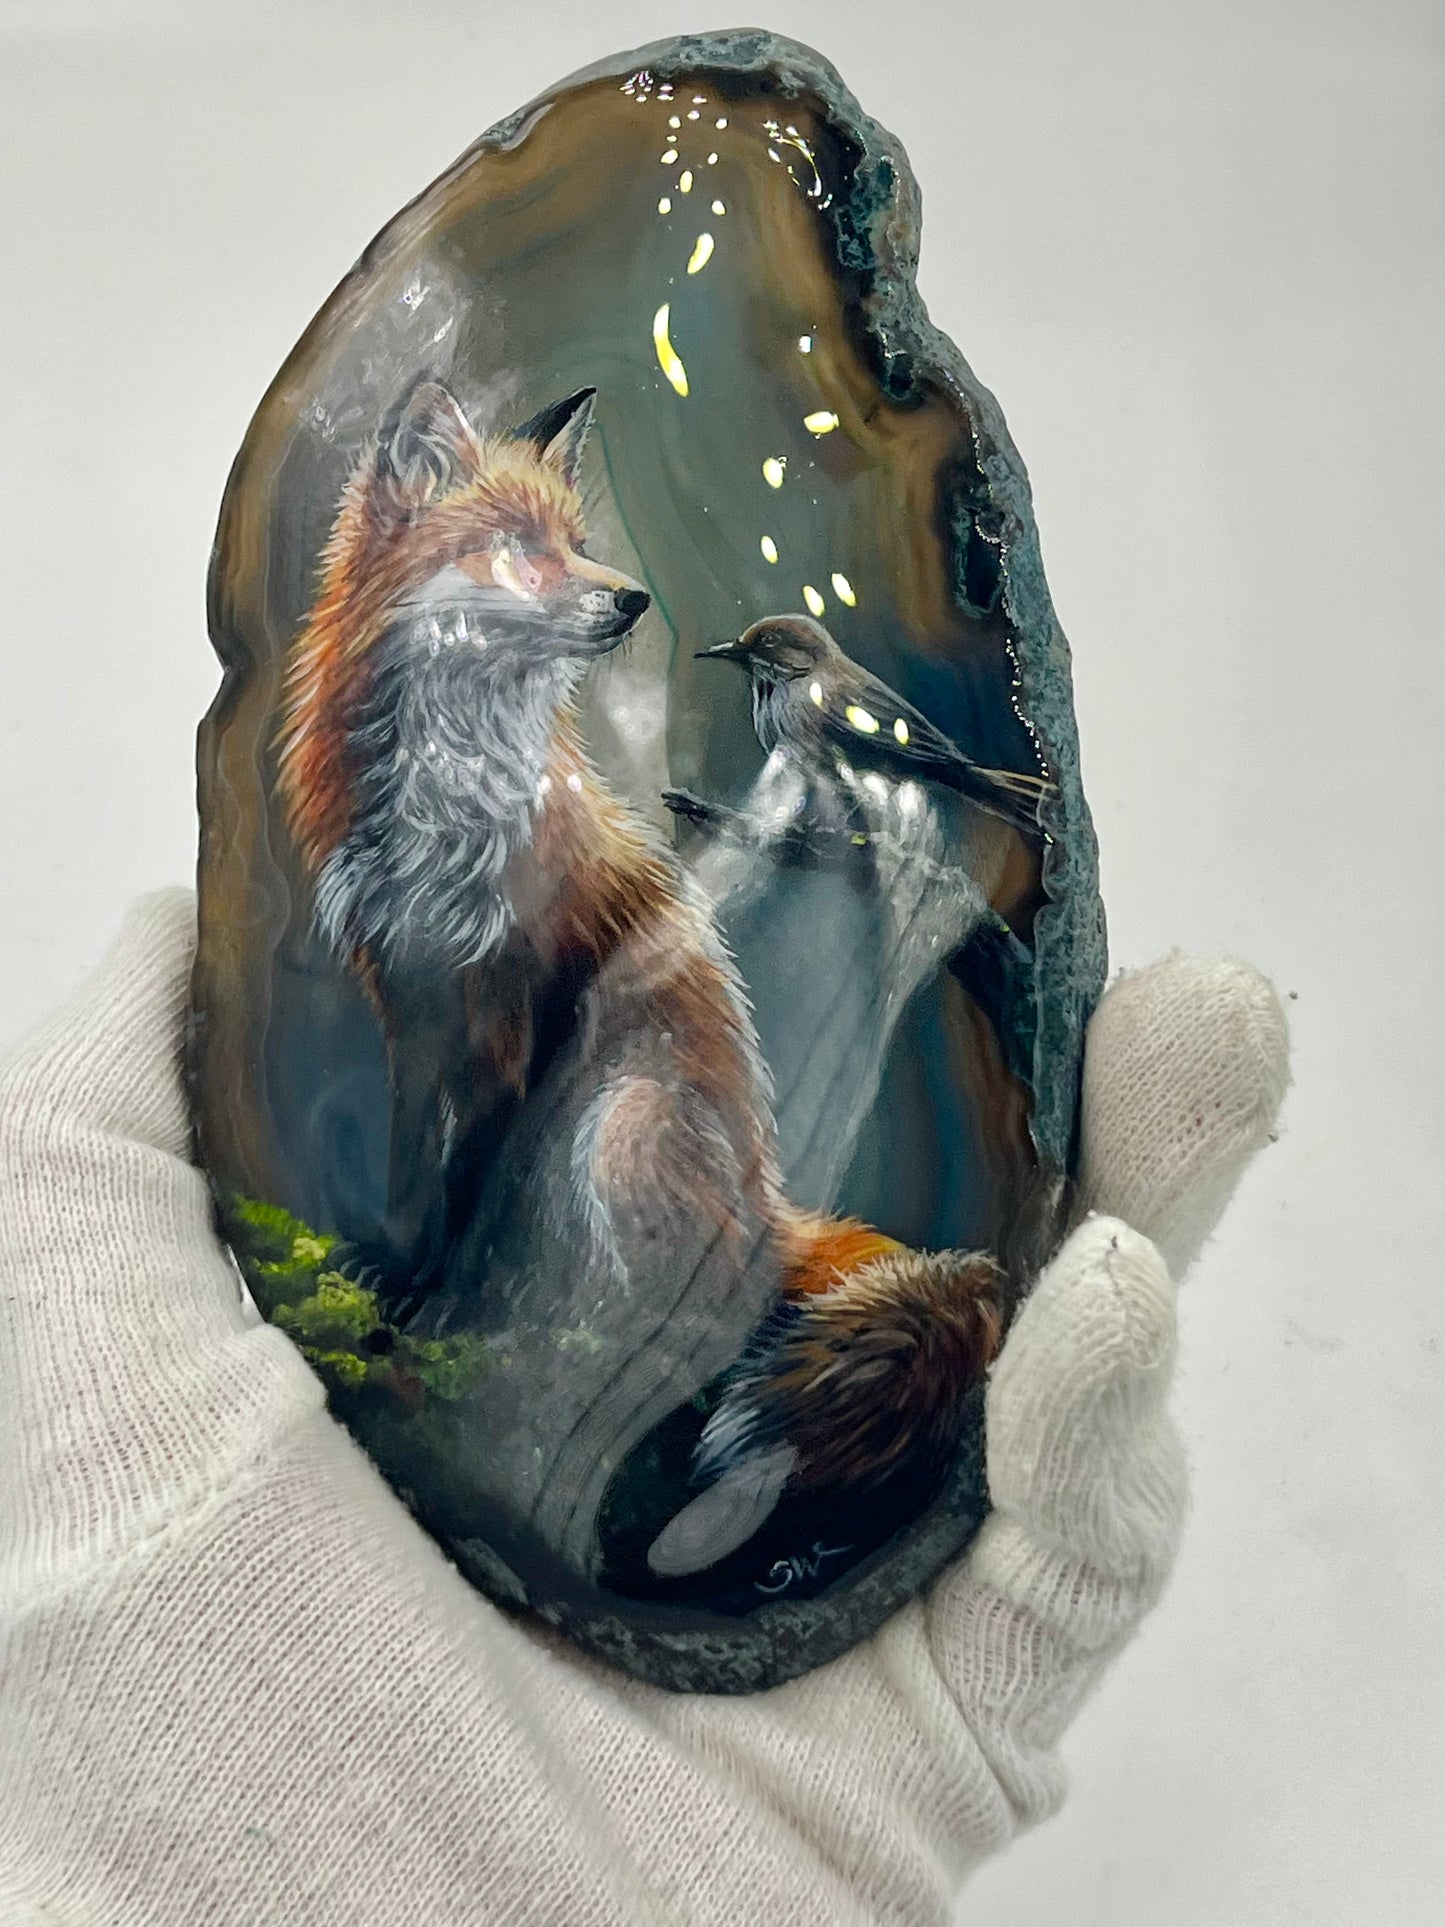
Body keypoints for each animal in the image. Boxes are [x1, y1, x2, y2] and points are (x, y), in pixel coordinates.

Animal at [274, 372, 1006, 1581]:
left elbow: (474, 1182)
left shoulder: (519, 1008)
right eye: (519, 547)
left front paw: (430, 1299)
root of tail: (773, 1209)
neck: (450, 803)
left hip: (624, 1121)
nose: (628, 601)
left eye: (577, 541)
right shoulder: (411, 997)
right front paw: (391, 1269)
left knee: (663, 1335)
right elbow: (409, 1166)